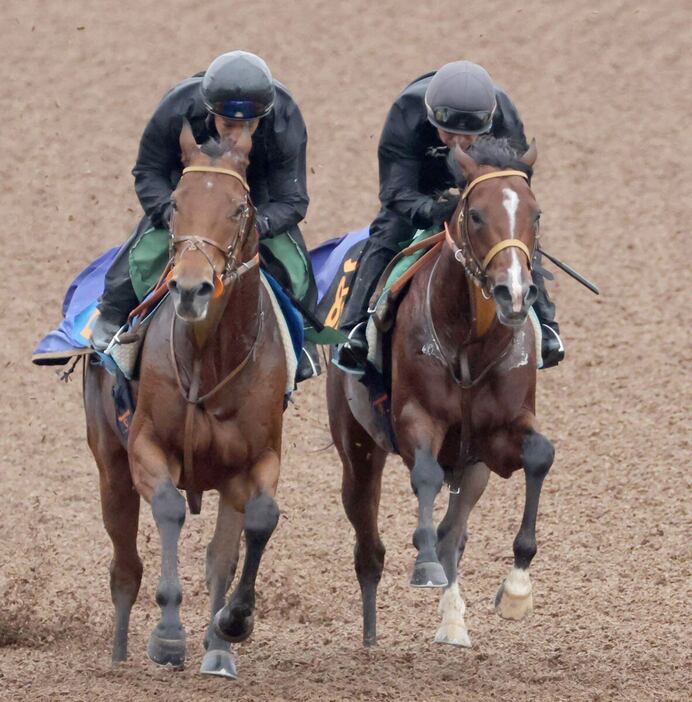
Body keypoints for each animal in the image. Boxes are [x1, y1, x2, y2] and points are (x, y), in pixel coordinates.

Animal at [82, 122, 288, 680]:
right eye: (176, 202)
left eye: (239, 208)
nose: (191, 287)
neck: (206, 357)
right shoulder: (145, 448)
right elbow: (170, 509)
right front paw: (169, 636)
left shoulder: (257, 460)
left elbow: (259, 523)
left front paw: (234, 621)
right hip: (110, 465)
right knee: (124, 567)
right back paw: (117, 657)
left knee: (220, 557)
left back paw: (217, 651)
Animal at [328, 138, 556, 648]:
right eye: (475, 215)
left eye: (535, 214)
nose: (514, 294)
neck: (469, 341)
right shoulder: (417, 418)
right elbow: (426, 476)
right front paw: (424, 562)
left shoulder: (500, 433)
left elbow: (540, 455)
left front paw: (517, 589)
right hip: (357, 451)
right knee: (368, 544)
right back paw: (370, 639)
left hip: (472, 468)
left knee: (455, 531)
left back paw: (453, 624)